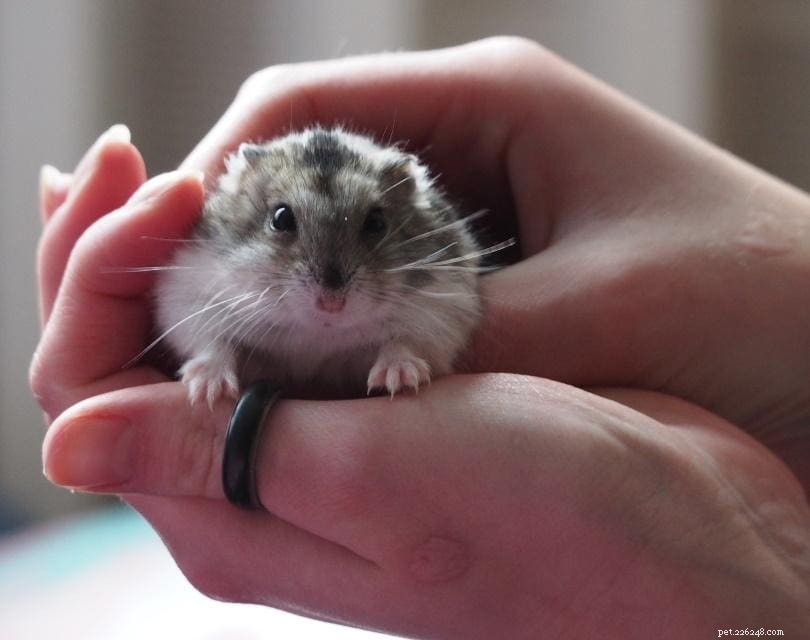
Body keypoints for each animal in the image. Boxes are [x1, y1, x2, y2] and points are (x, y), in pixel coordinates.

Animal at [154, 126, 494, 406]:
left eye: (376, 222)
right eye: (280, 218)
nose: (332, 304)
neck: (317, 334)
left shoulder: (444, 311)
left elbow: (406, 342)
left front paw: (399, 380)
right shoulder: (188, 297)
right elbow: (212, 342)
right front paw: (208, 392)